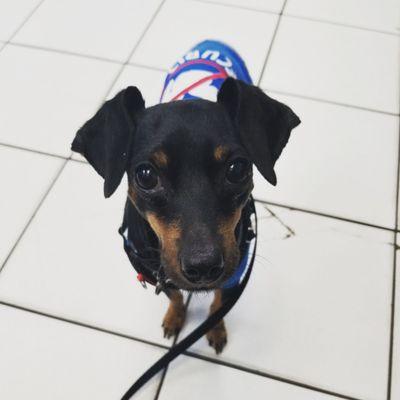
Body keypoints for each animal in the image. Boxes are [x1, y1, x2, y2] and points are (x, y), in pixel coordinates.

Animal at [71, 40, 300, 354]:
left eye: (237, 168)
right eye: (145, 175)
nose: (203, 267)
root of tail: (211, 41)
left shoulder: (234, 276)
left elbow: (217, 305)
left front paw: (215, 329)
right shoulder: (160, 275)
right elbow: (176, 296)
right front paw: (174, 318)